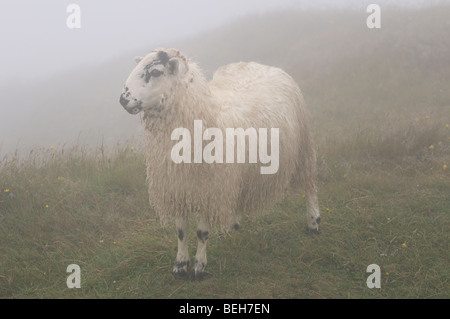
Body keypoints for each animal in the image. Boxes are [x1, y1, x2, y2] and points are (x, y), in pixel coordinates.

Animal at [118, 48, 320, 282]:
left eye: (156, 72)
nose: (122, 99)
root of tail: (265, 66)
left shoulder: (210, 188)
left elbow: (201, 233)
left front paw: (198, 267)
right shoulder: (178, 187)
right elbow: (181, 231)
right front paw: (180, 265)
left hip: (303, 146)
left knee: (310, 186)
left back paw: (313, 223)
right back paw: (232, 226)